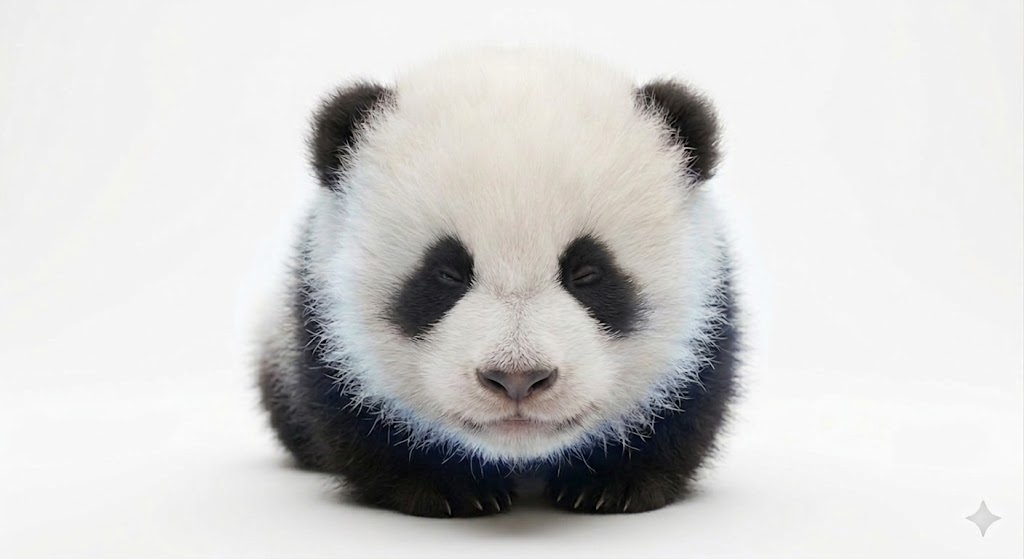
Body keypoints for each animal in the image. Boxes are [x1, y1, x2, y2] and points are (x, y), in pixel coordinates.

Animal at [257, 48, 739, 517]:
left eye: (587, 272)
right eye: (446, 273)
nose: (518, 378)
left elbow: (684, 402)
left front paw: (612, 485)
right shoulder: (324, 326)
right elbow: (360, 415)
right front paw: (451, 488)